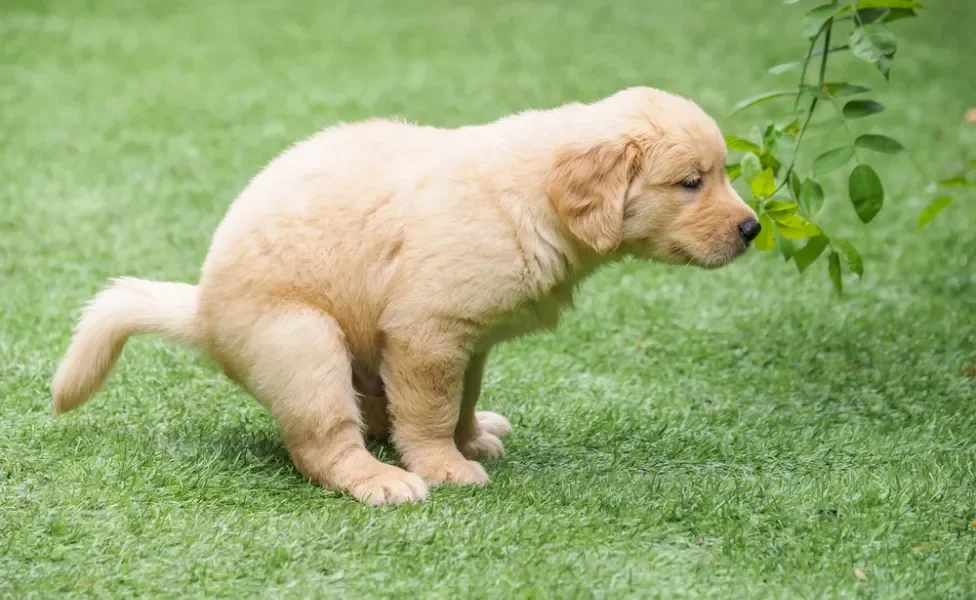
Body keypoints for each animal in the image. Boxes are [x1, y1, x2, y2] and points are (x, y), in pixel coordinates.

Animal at [51, 86, 756, 504]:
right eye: (691, 182)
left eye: (720, 174)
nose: (751, 229)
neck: (531, 199)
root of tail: (202, 310)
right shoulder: (428, 330)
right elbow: (430, 410)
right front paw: (444, 466)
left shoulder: (467, 340)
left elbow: (459, 399)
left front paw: (469, 438)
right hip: (304, 343)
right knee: (322, 444)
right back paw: (383, 479)